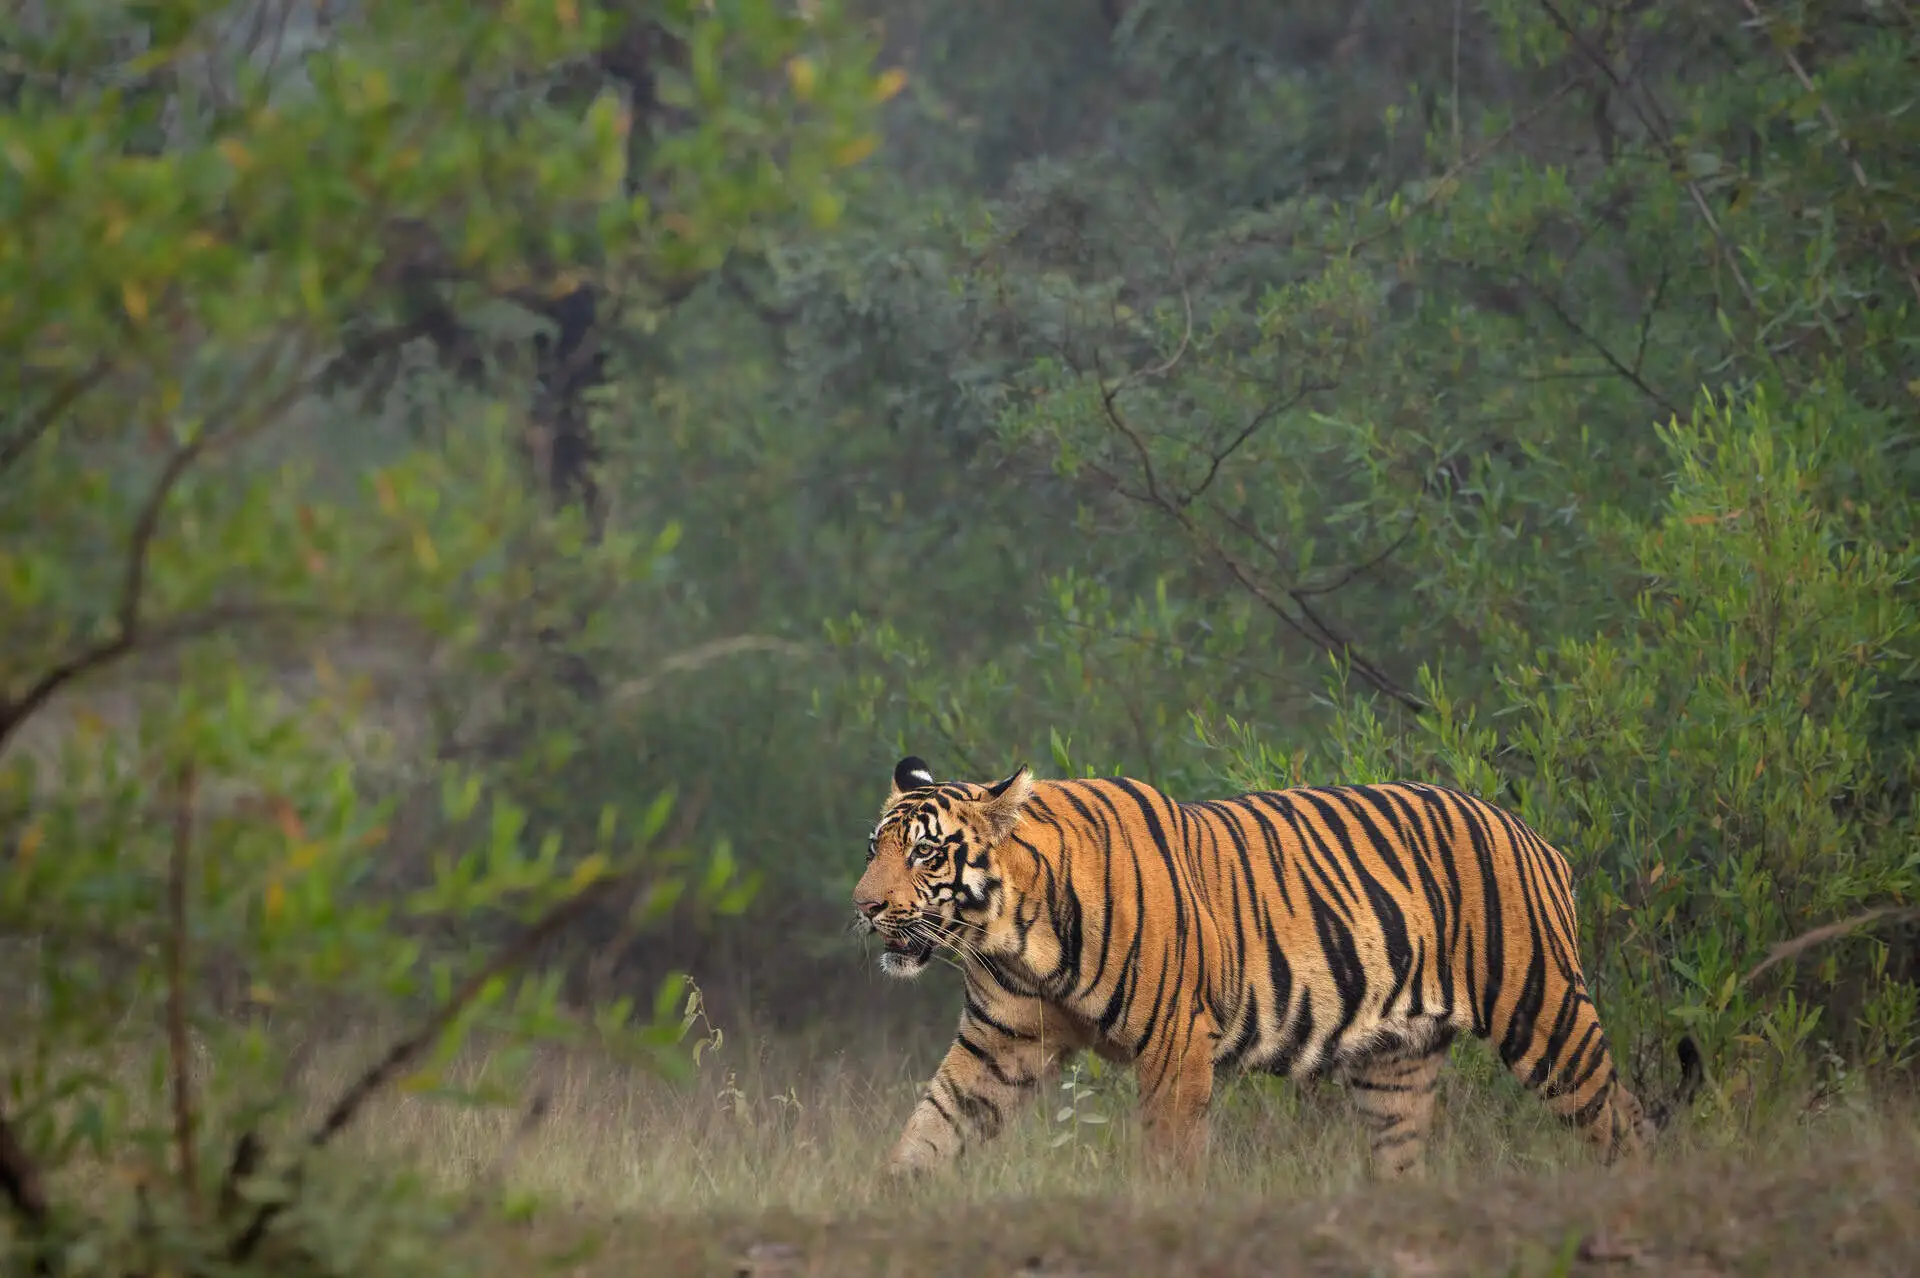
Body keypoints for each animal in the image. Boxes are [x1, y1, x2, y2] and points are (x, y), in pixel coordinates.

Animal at [852, 756, 1702, 1180]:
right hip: (1396, 1066)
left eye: (925, 854)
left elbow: (1169, 1157)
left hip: (1546, 1015)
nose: (862, 907)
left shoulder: (1174, 1045)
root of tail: (1532, 834)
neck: (1013, 937)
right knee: (1402, 1162)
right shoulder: (997, 1047)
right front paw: (894, 1206)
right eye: (874, 849)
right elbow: (929, 1130)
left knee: (1624, 1125)